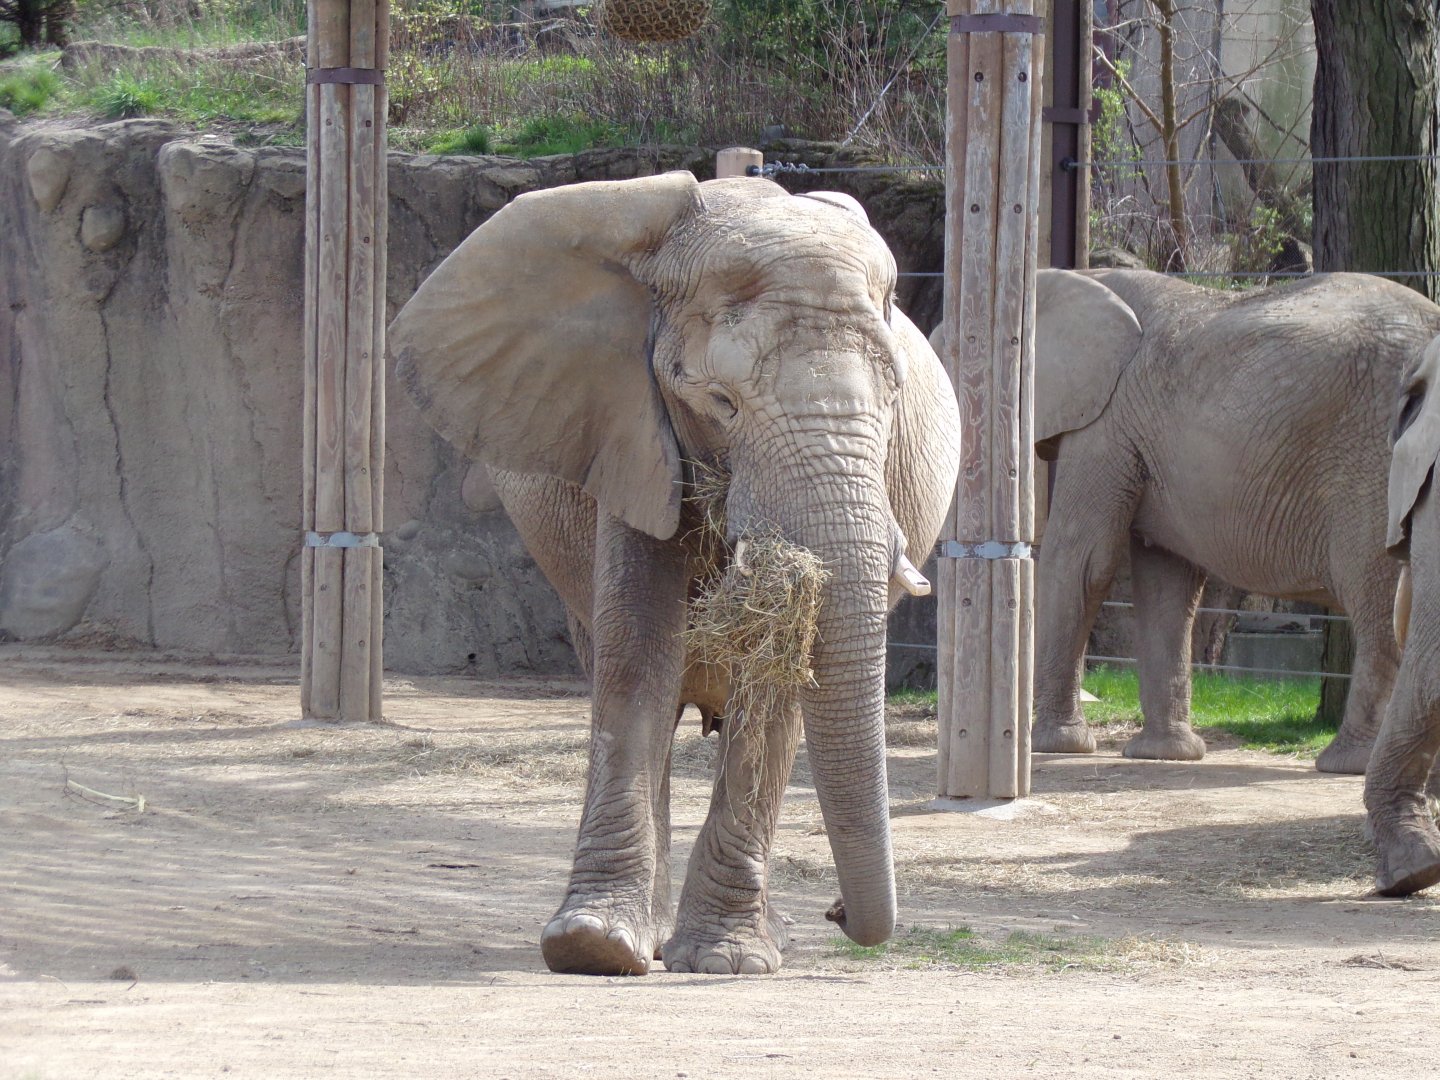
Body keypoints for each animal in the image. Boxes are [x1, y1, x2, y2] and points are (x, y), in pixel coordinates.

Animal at [389, 173, 962, 974]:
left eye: (894, 402)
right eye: (719, 402)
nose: (838, 911)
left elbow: (778, 681)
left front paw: (727, 961)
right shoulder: (626, 429)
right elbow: (639, 658)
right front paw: (593, 946)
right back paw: (653, 934)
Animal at [1018, 269, 1440, 773]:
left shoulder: (1106, 426)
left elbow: (1083, 561)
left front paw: (1054, 745)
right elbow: (1166, 581)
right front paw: (1167, 756)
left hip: (1377, 465)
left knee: (1376, 601)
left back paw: (1346, 763)